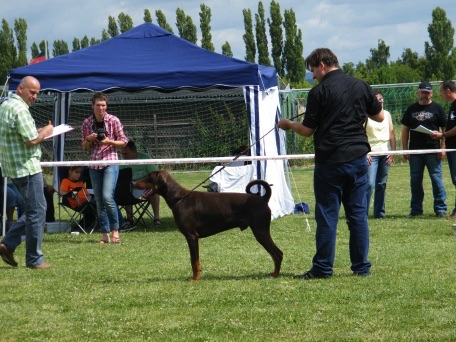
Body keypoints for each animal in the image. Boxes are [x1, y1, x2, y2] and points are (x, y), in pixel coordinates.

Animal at [133, 171, 282, 280]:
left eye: (149, 177)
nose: (133, 182)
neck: (179, 198)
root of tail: (263, 198)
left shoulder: (191, 236)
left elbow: (193, 260)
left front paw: (195, 279)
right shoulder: (193, 238)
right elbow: (197, 260)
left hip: (260, 231)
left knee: (277, 254)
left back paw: (275, 275)